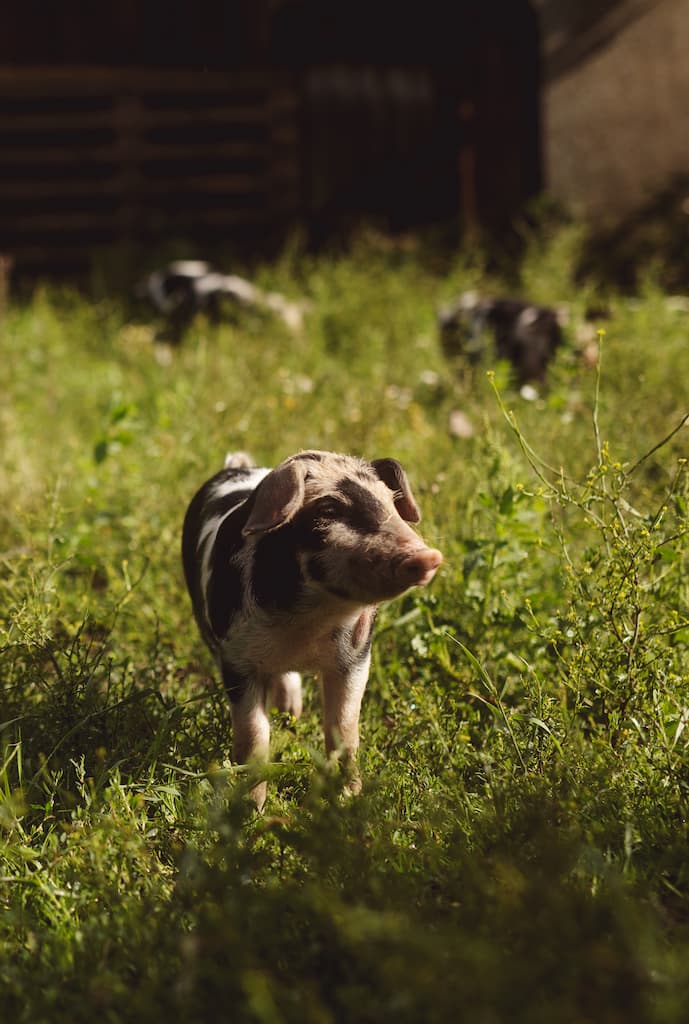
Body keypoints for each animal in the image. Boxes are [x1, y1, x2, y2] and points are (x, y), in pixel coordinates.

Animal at [181, 448, 440, 806]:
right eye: (327, 509)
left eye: (390, 501)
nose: (429, 557)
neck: (308, 623)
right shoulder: (235, 659)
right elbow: (253, 737)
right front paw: (250, 809)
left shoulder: (356, 658)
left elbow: (344, 729)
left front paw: (346, 799)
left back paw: (291, 714)